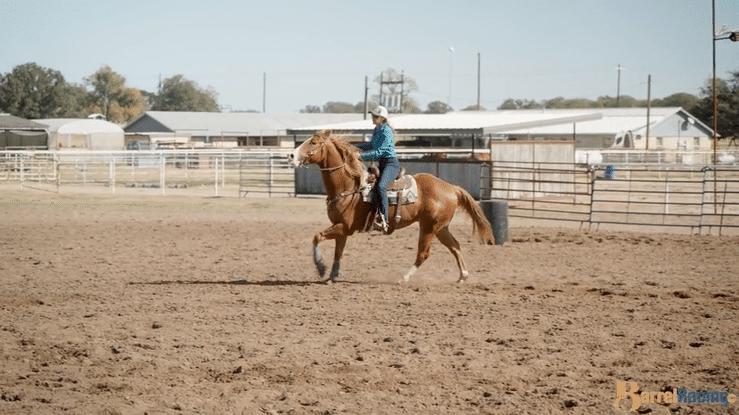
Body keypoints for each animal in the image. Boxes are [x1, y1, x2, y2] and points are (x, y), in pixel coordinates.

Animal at [287, 130, 494, 284]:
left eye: (313, 142)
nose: (291, 155)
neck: (349, 187)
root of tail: (451, 187)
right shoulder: (342, 228)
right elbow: (338, 252)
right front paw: (332, 276)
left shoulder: (344, 227)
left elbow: (317, 237)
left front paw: (321, 268)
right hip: (441, 228)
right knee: (455, 246)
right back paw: (462, 276)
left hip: (428, 228)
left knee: (423, 254)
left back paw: (404, 278)